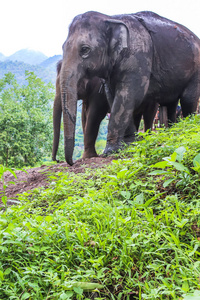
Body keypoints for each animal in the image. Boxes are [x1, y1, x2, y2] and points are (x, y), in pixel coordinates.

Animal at [59, 10, 200, 165]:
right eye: (63, 47)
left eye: (85, 49)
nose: (71, 162)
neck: (110, 18)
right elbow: (112, 96)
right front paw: (130, 143)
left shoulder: (138, 57)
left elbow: (129, 95)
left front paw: (110, 151)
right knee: (171, 103)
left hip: (196, 70)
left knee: (188, 99)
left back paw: (186, 128)